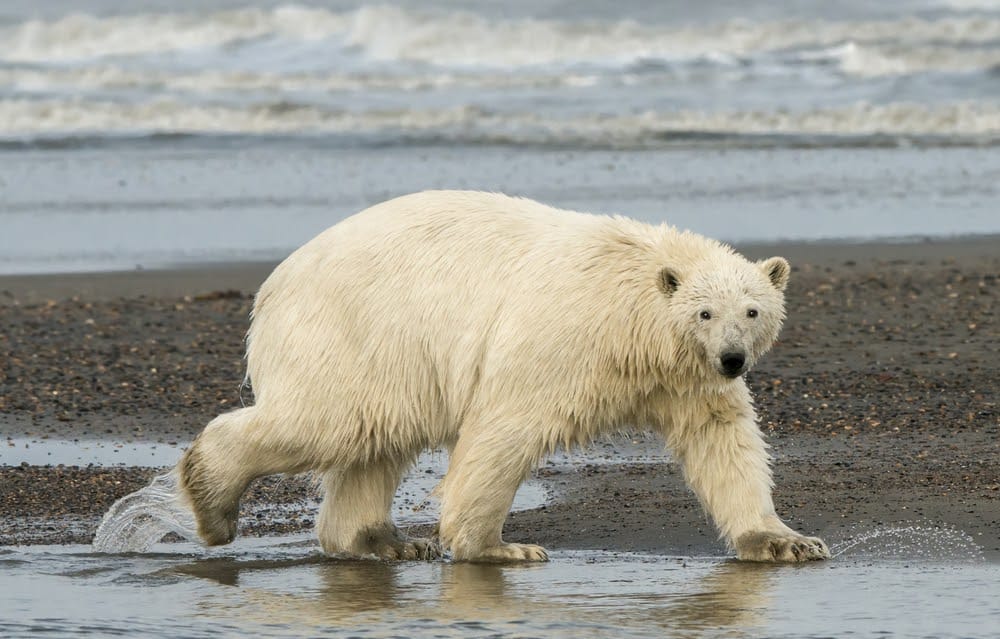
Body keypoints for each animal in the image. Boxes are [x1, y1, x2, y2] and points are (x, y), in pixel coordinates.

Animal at [178, 191, 828, 564]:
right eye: (704, 312)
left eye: (752, 310)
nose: (732, 358)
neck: (631, 321)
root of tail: (273, 286)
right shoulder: (564, 337)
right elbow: (506, 426)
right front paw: (498, 546)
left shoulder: (682, 378)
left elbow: (722, 440)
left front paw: (785, 541)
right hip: (355, 333)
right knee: (326, 422)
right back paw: (211, 499)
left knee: (375, 440)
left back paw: (383, 540)